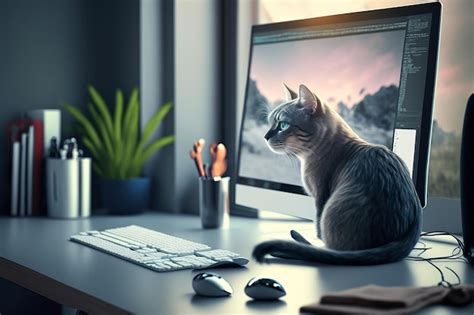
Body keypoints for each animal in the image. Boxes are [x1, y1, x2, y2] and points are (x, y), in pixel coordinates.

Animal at [252, 84, 422, 266]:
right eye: (270, 122)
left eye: (283, 125)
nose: (265, 136)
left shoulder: (320, 195)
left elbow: (318, 226)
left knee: (325, 251)